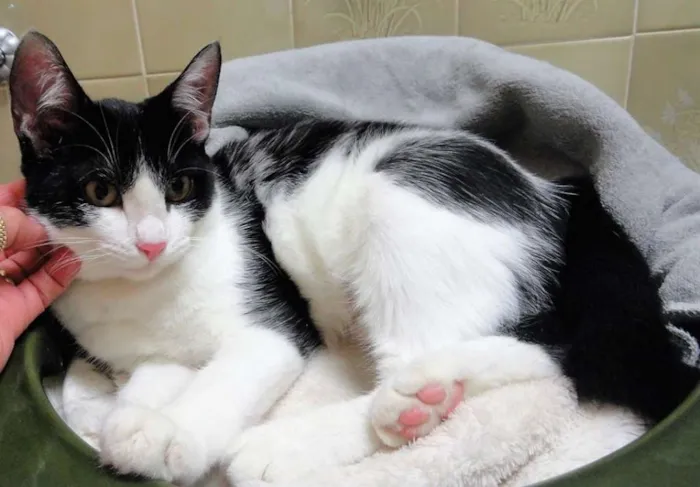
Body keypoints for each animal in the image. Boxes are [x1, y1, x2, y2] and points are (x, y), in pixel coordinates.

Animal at [9, 32, 698, 486]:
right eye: (101, 191)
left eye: (179, 187)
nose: (152, 241)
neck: (142, 292)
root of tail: (554, 195)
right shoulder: (146, 353)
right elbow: (148, 381)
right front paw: (133, 418)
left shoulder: (275, 326)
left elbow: (229, 375)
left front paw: (174, 434)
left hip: (398, 206)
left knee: (545, 354)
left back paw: (325, 433)